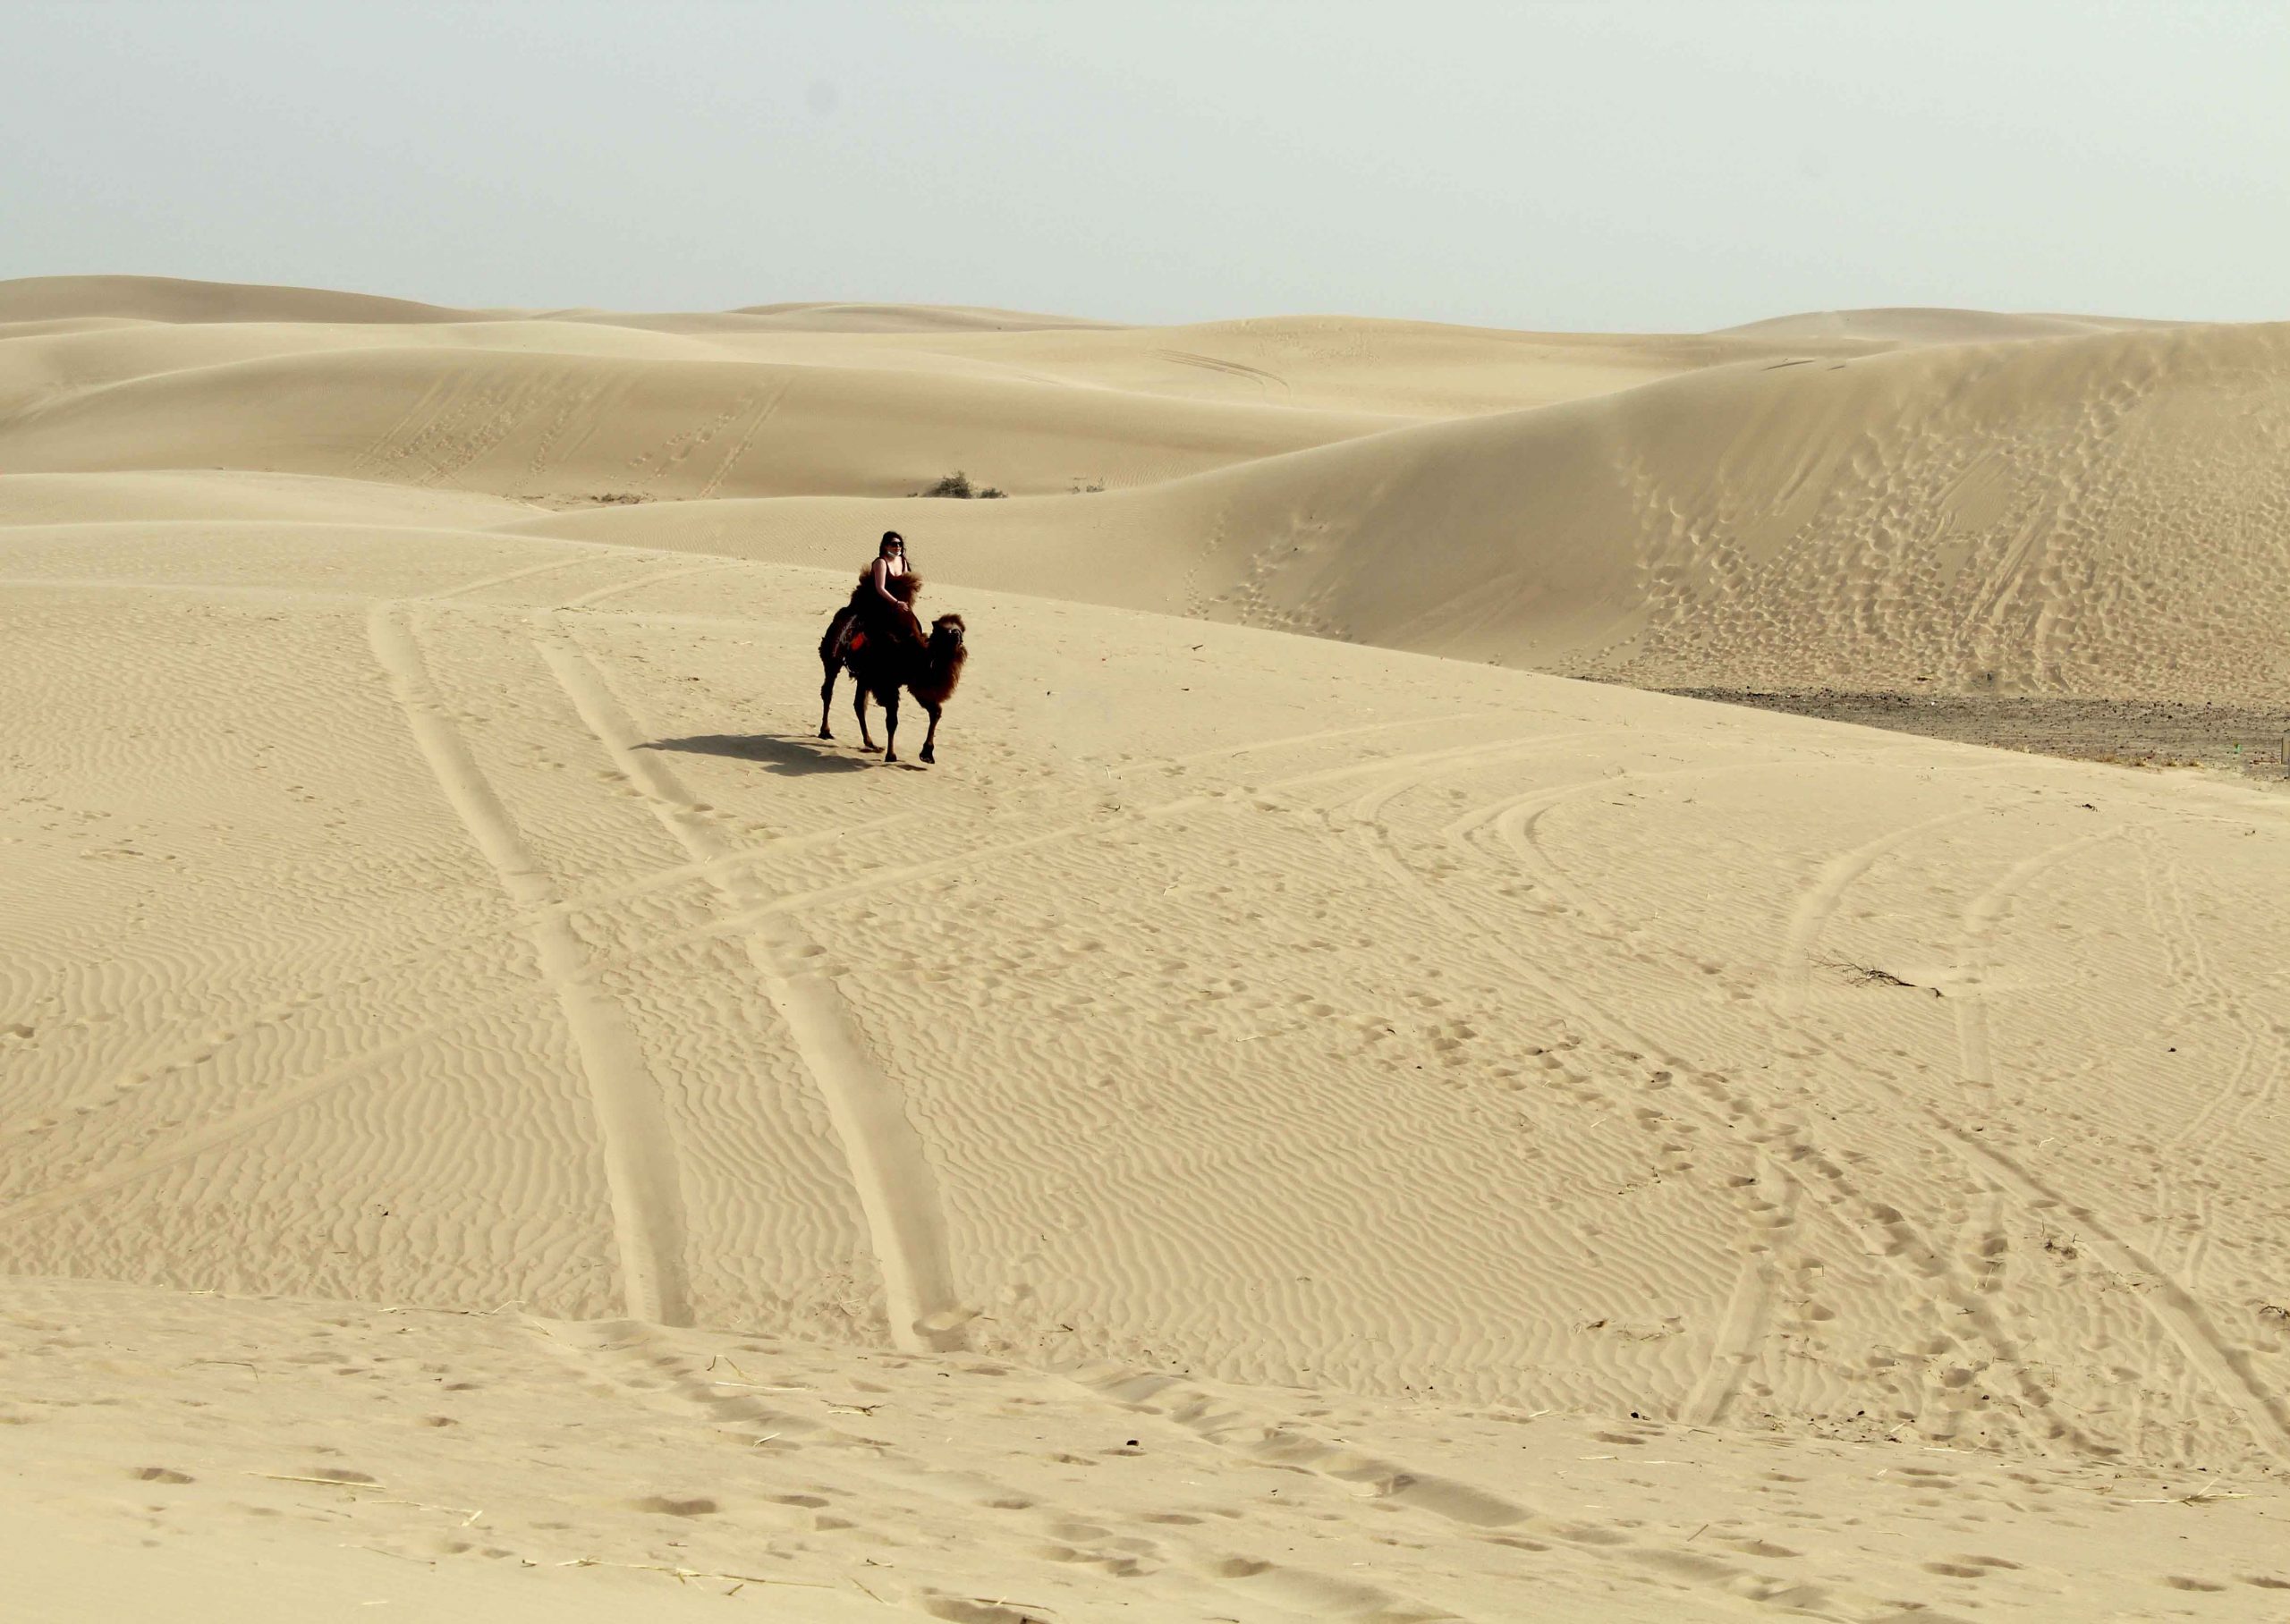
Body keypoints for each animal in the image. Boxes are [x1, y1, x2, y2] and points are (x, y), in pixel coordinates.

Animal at [819, 600, 971, 765]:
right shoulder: (887, 685)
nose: (957, 636)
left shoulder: (915, 686)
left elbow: (936, 711)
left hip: (864, 676)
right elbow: (892, 721)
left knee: (859, 704)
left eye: (961, 629)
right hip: (832, 659)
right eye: (945, 630)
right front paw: (891, 755)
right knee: (828, 692)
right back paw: (825, 731)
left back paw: (870, 743)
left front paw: (927, 754)